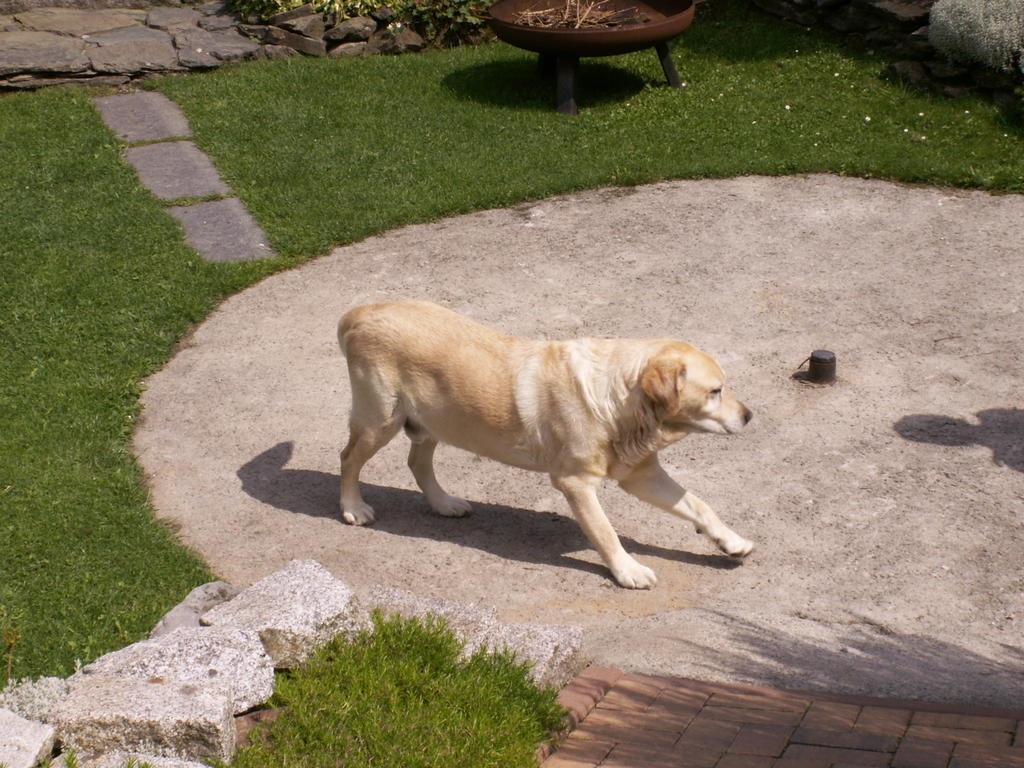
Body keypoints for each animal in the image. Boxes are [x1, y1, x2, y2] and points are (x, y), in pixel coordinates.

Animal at [337, 301, 753, 589]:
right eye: (715, 391)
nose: (750, 416)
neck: (617, 399)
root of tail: (361, 311)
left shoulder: (641, 475)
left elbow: (700, 505)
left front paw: (731, 541)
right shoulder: (575, 483)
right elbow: (606, 532)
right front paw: (628, 570)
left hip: (434, 421)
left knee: (417, 461)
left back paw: (443, 503)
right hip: (380, 421)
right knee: (348, 459)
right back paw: (353, 507)